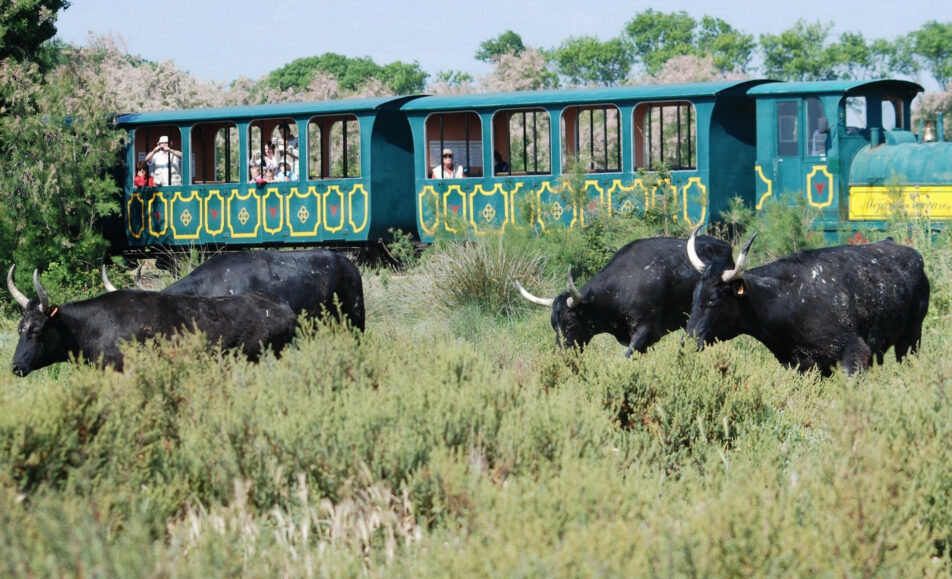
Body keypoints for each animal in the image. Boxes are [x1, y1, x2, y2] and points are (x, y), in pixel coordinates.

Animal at [684, 227, 928, 376]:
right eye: (694, 296)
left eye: (713, 299)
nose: (686, 341)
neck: (787, 300)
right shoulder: (800, 366)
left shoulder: (855, 354)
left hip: (911, 338)